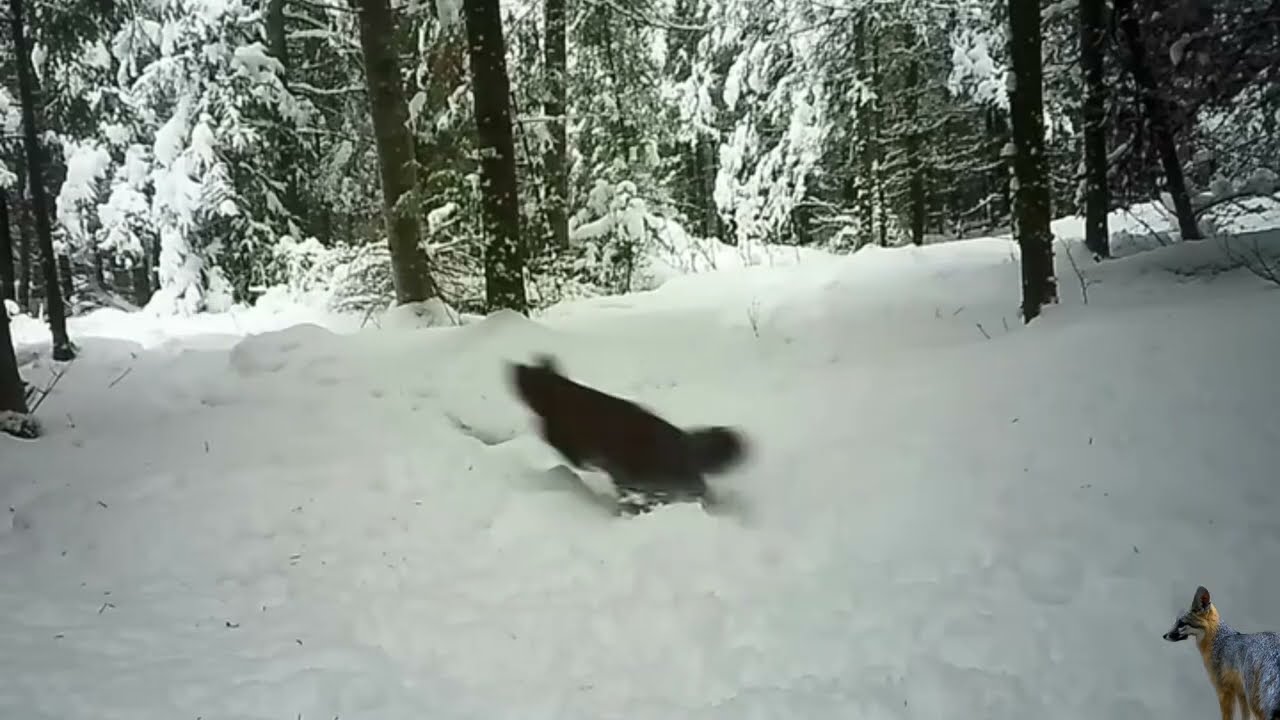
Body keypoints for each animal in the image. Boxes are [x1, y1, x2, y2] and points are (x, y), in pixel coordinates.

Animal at [1164, 585, 1280, 720]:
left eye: (1181, 624)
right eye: (1175, 622)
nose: (1164, 635)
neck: (1220, 639)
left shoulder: (1223, 690)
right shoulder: (1240, 693)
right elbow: (1245, 717)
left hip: (1254, 702)